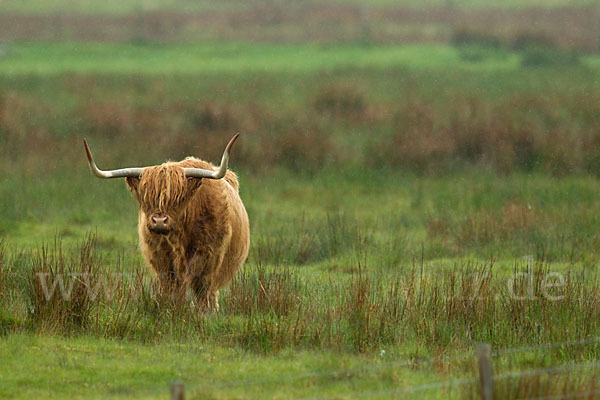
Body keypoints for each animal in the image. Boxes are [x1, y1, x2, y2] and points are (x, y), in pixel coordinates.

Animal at [82, 134, 248, 310]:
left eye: (178, 197)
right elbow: (170, 287)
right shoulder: (160, 257)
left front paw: (203, 312)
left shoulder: (208, 256)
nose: (159, 221)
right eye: (146, 197)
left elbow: (200, 289)